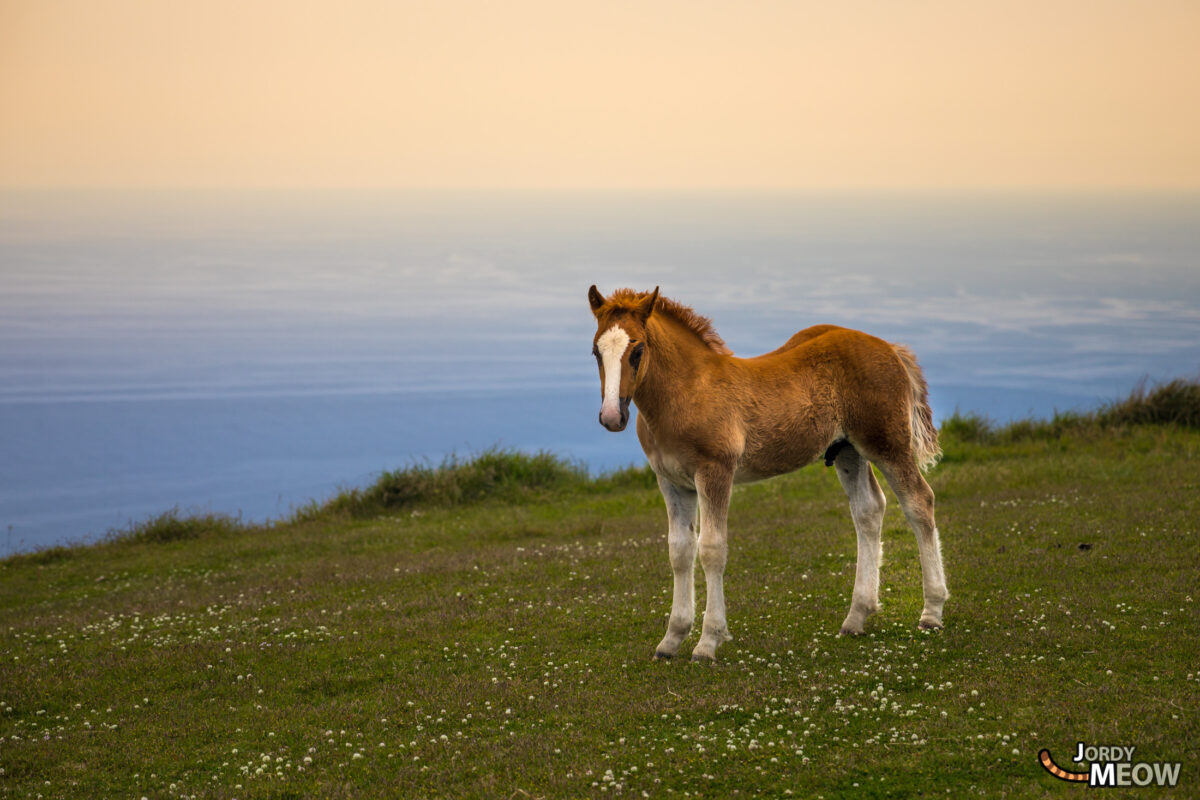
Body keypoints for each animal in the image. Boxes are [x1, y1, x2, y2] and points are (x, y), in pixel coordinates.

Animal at [588, 286, 945, 662]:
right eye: (596, 350)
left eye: (638, 349)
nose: (612, 417)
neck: (687, 393)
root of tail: (890, 347)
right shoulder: (671, 482)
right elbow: (679, 552)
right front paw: (671, 639)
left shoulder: (715, 472)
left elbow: (711, 549)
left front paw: (708, 642)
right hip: (848, 450)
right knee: (868, 511)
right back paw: (856, 618)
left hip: (887, 444)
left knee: (919, 502)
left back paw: (932, 612)